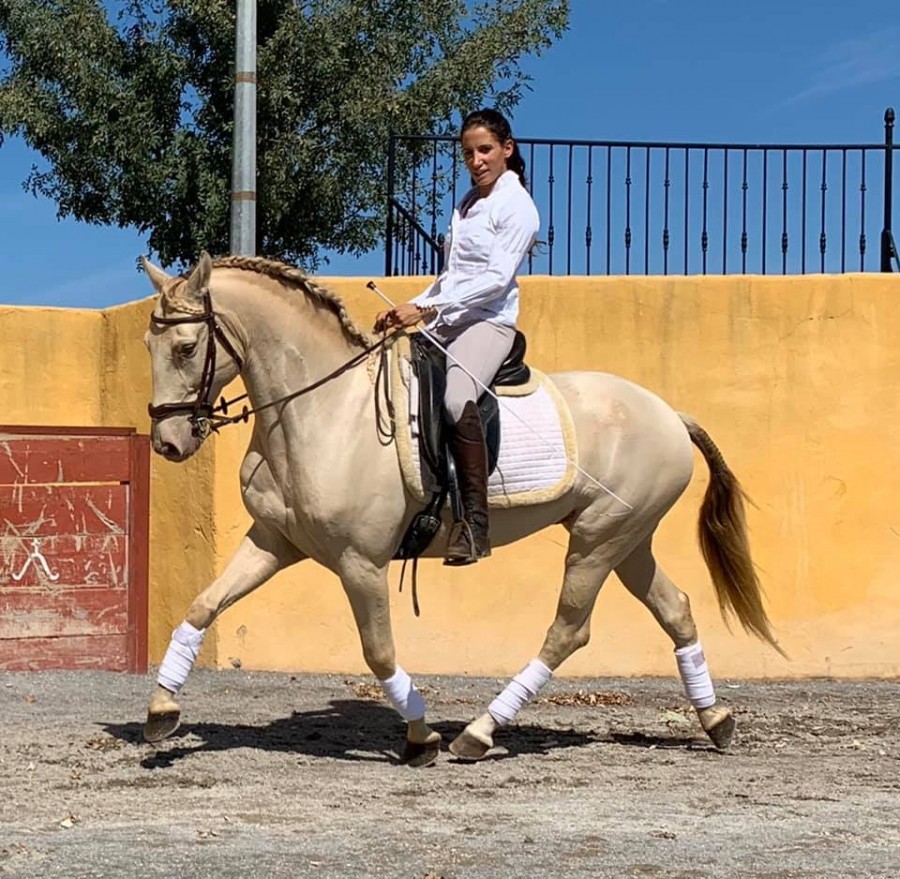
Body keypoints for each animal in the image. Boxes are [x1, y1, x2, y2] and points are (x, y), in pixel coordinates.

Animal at [141, 251, 780, 766]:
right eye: (149, 347)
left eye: (186, 347)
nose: (168, 443)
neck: (325, 409)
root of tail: (670, 413)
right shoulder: (276, 542)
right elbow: (202, 606)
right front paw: (161, 711)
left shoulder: (360, 561)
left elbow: (378, 652)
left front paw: (420, 738)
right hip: (627, 540)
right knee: (676, 610)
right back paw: (716, 721)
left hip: (598, 542)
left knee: (568, 631)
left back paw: (477, 733)